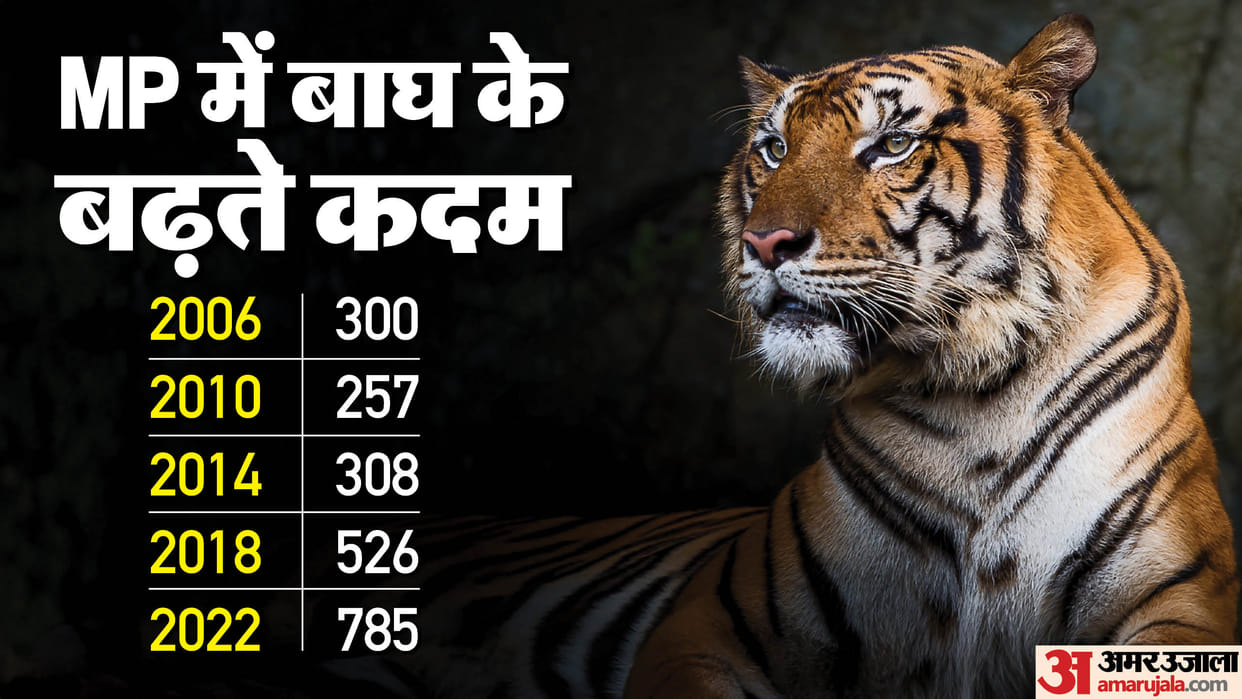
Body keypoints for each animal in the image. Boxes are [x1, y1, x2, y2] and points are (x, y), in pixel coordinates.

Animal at [363, 14, 1238, 698]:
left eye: (892, 144)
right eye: (775, 146)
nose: (764, 242)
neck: (975, 394)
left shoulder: (1180, 598)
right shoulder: (714, 624)